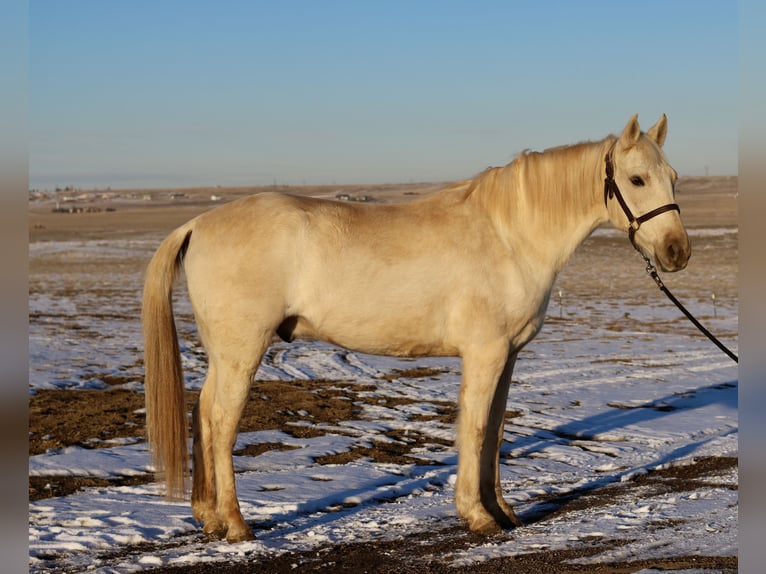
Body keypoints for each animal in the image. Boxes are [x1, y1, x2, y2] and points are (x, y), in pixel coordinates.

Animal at [142, 113, 688, 544]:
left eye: (674, 176)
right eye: (637, 179)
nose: (677, 251)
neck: (509, 235)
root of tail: (198, 223)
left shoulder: (507, 356)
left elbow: (494, 430)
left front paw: (502, 511)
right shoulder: (484, 352)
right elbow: (474, 428)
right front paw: (477, 516)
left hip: (224, 354)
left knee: (201, 413)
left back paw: (209, 518)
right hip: (243, 351)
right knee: (220, 422)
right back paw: (236, 525)